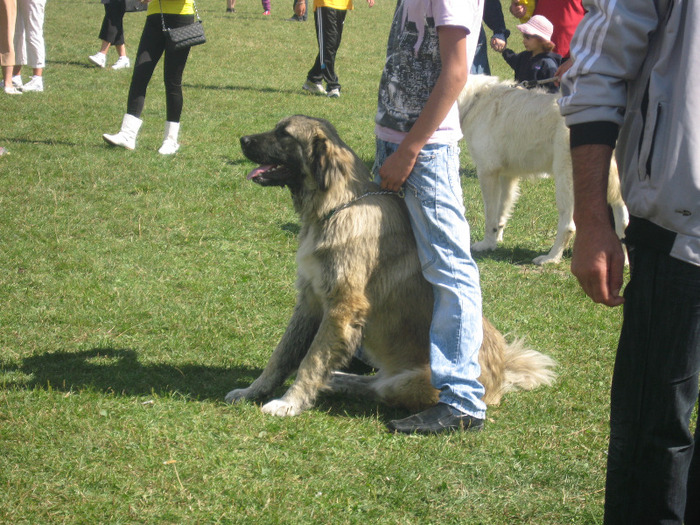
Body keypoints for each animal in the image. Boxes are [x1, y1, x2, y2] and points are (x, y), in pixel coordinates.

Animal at [230, 114, 556, 418]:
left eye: (284, 135)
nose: (243, 139)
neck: (337, 207)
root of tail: (502, 375)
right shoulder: (310, 300)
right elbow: (282, 355)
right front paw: (252, 390)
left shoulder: (342, 307)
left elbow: (312, 360)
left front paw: (289, 403)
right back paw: (337, 378)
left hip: (412, 381)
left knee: (378, 388)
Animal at [456, 75, 628, 264]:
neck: (475, 100)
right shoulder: (507, 176)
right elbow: (501, 214)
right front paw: (496, 241)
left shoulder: (487, 172)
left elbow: (490, 216)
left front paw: (486, 244)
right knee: (623, 223)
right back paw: (624, 261)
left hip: (566, 180)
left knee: (569, 226)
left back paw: (550, 259)